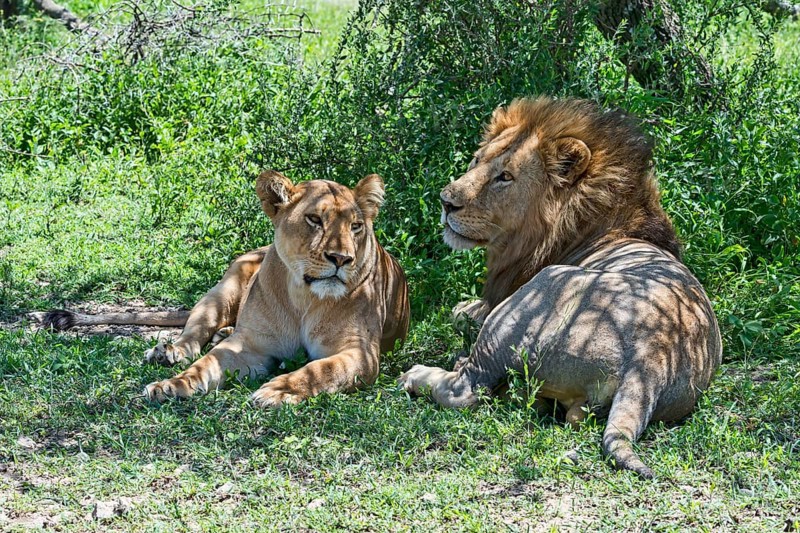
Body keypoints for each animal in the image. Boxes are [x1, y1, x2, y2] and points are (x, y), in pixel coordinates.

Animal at [38, 171, 410, 407]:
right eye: (314, 220)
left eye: (356, 226)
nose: (341, 258)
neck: (304, 297)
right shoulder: (250, 346)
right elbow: (205, 364)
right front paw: (174, 385)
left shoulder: (361, 353)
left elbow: (319, 369)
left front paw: (279, 391)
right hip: (221, 292)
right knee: (193, 335)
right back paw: (169, 352)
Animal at [399, 97, 722, 479]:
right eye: (477, 160)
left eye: (505, 177)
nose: (446, 202)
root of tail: (650, 362)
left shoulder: (504, 295)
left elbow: (459, 314)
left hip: (533, 296)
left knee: (467, 389)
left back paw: (420, 374)